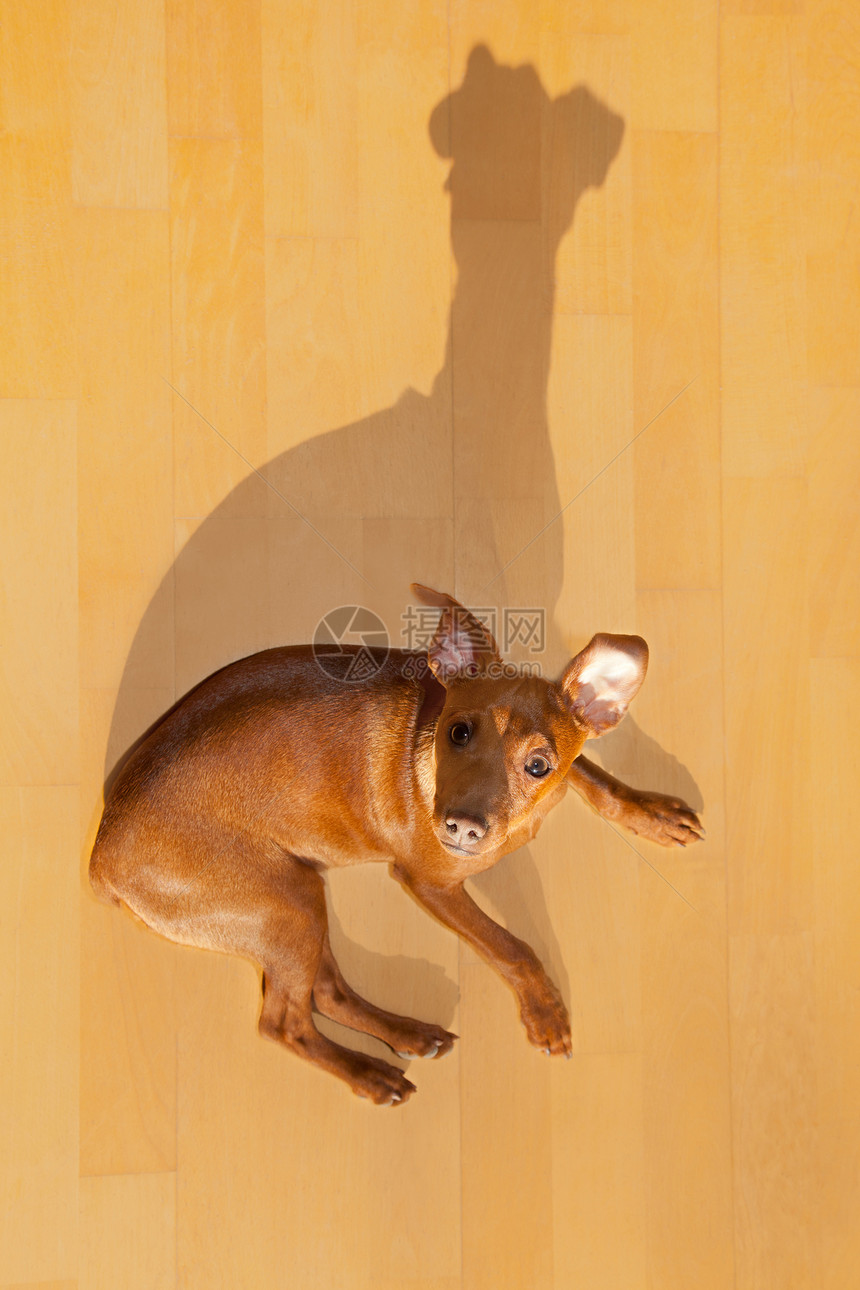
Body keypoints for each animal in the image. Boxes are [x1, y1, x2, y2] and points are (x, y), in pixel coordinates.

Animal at [90, 585, 701, 1099]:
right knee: (282, 1023)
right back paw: (369, 1074)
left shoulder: (565, 774)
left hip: (290, 903)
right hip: (284, 904)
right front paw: (545, 1014)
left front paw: (651, 814)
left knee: (324, 993)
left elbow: (595, 780)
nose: (462, 826)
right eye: (459, 731)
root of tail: (101, 855)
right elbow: (512, 947)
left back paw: (407, 1035)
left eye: (538, 765)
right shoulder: (430, 884)